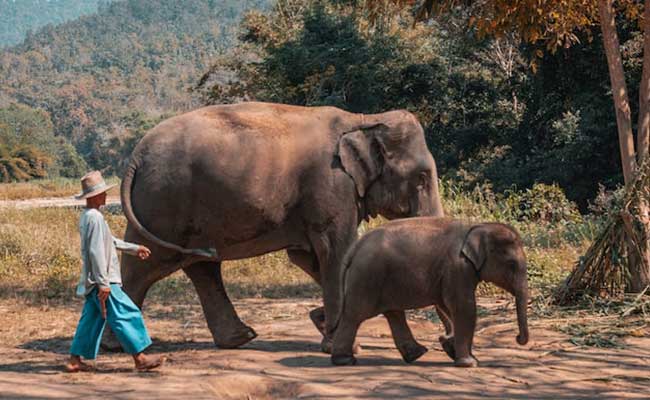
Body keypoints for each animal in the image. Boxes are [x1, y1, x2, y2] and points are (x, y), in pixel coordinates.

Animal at [114, 102, 442, 350]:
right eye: (422, 178)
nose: (442, 341)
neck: (364, 119)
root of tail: (135, 157)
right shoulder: (331, 186)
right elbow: (336, 251)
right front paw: (339, 342)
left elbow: (308, 257)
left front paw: (323, 323)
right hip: (164, 204)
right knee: (145, 265)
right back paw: (117, 346)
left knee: (200, 266)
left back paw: (239, 338)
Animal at [330, 217, 528, 368]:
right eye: (512, 265)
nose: (518, 338)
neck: (477, 226)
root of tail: (355, 247)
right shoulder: (458, 267)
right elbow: (464, 307)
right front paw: (469, 363)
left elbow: (448, 306)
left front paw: (451, 347)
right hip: (367, 278)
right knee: (354, 315)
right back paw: (344, 360)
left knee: (393, 314)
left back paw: (416, 354)